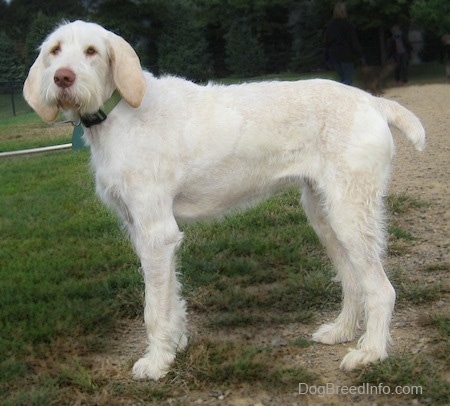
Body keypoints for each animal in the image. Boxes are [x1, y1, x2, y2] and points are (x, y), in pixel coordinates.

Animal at [23, 20, 426, 380]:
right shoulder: (144, 232)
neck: (123, 112)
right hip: (324, 215)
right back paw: (341, 331)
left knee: (381, 289)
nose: (62, 78)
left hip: (350, 216)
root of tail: (372, 101)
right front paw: (176, 345)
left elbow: (153, 308)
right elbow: (171, 297)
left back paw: (370, 352)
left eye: (91, 51)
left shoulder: (156, 234)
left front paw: (156, 363)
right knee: (353, 280)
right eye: (55, 50)